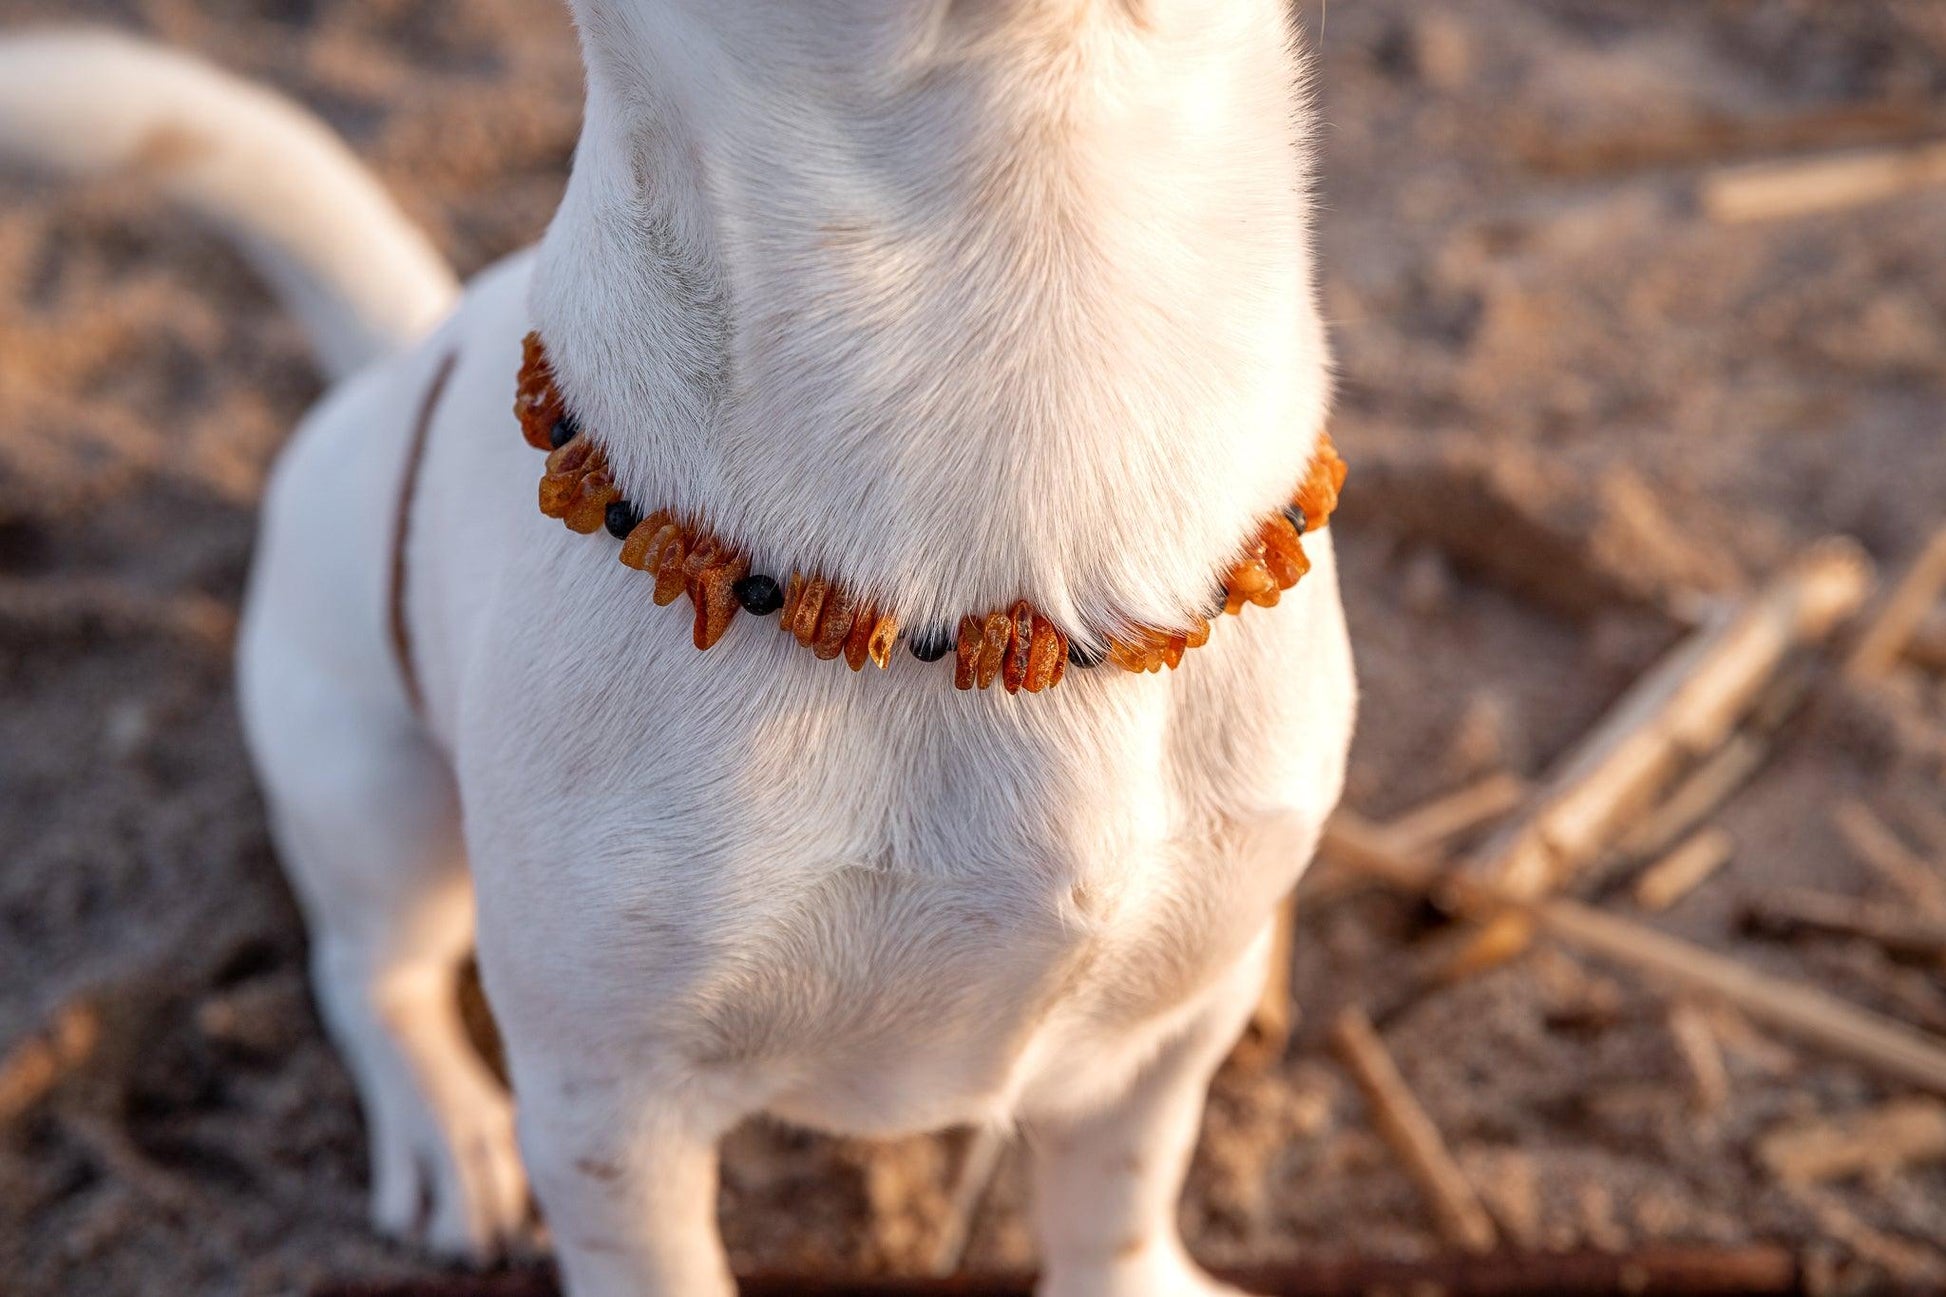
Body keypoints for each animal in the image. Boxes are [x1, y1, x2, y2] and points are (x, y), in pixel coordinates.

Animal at [0, 5, 1354, 1285]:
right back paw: (445, 1130)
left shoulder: (1167, 1025)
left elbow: (1117, 1198)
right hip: (373, 790)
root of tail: (403, 355)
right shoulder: (608, 1097)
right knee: (368, 967)